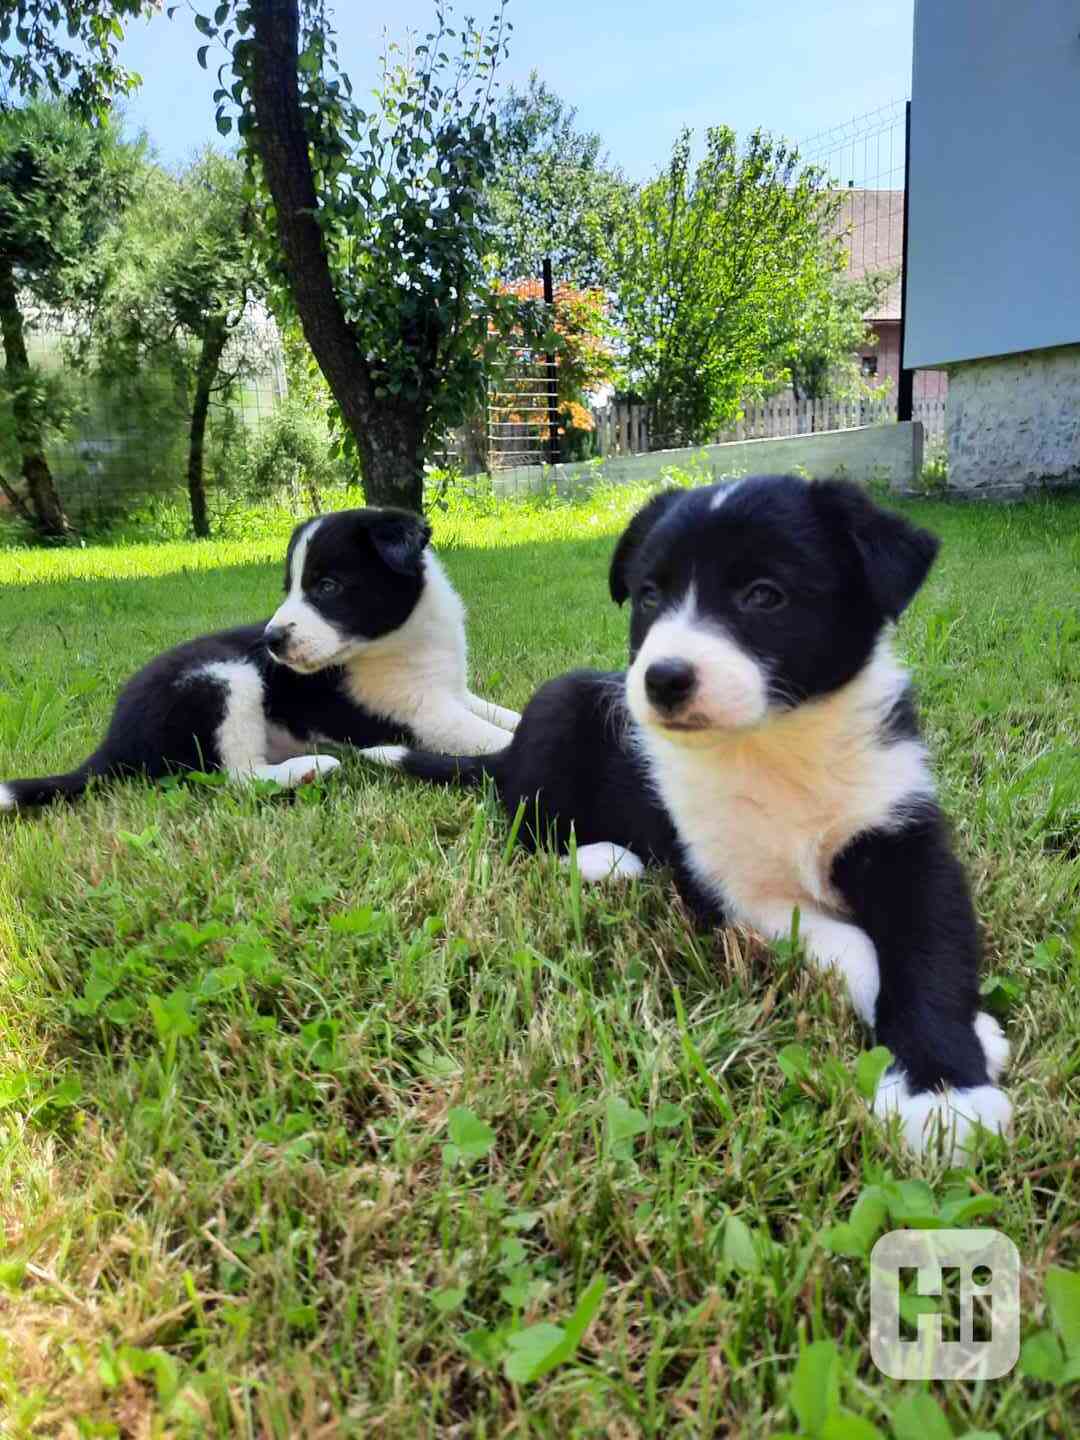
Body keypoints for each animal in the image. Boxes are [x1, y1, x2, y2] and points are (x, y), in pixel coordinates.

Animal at [1, 506, 521, 812]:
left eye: (326, 586)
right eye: (289, 588)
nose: (271, 639)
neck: (400, 639)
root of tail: (113, 742)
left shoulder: (452, 692)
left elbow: (503, 715)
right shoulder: (418, 713)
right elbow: (487, 737)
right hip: (224, 678)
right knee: (236, 778)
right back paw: (308, 769)